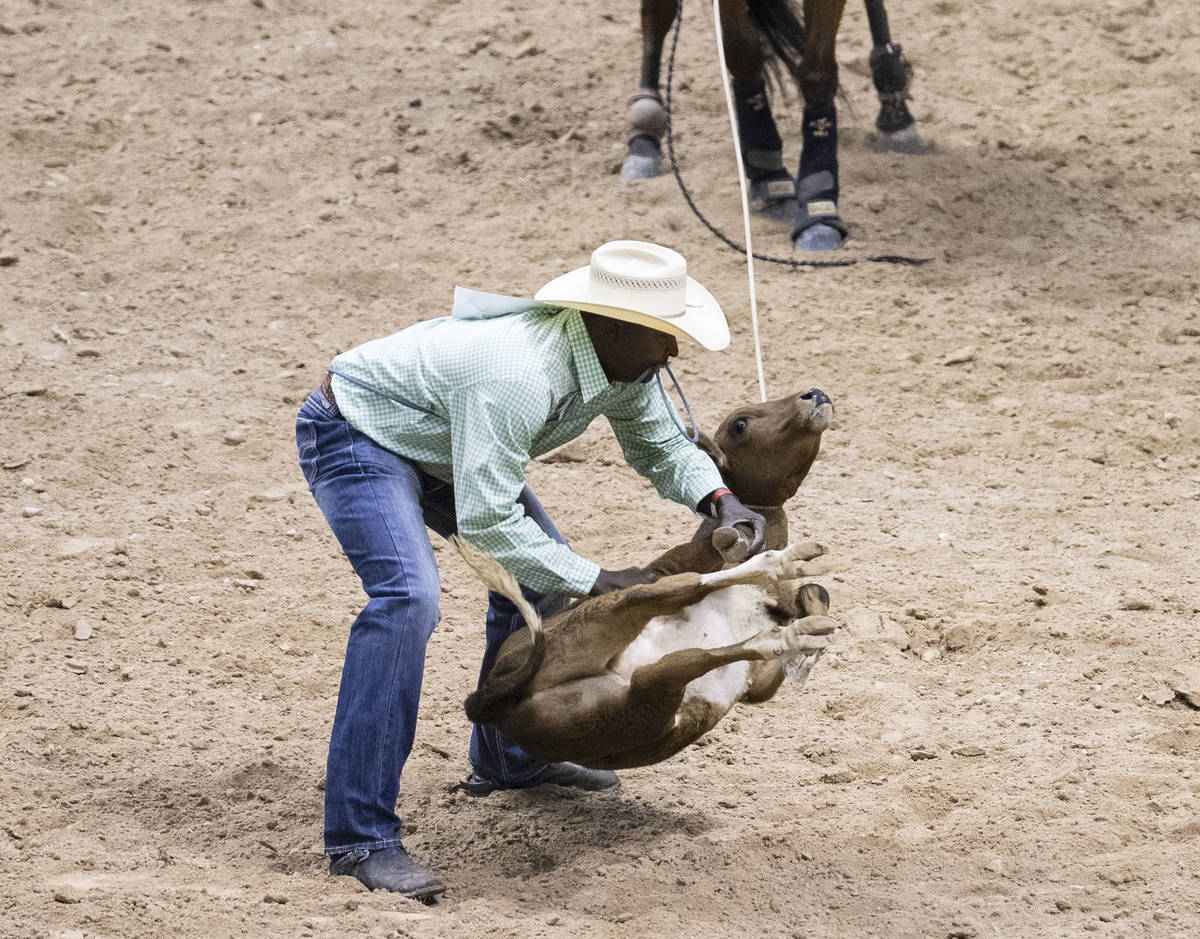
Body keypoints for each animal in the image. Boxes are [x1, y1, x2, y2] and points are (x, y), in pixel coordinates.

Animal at [458, 389, 835, 773]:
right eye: (740, 424)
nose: (815, 394)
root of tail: (492, 702)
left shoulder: (758, 684)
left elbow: (815, 596)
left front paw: (807, 641)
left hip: (645, 702)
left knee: (683, 661)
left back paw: (795, 630)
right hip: (616, 627)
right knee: (669, 598)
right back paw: (786, 569)